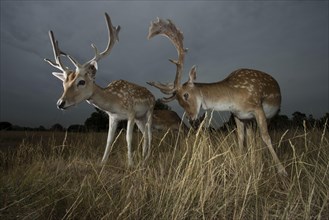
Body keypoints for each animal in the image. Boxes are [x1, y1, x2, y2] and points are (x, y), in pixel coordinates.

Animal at [44, 12, 155, 166]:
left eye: (81, 82)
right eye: (63, 84)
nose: (60, 103)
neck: (114, 102)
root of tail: (153, 95)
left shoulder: (131, 113)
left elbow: (128, 138)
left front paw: (130, 164)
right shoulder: (113, 117)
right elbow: (109, 140)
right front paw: (102, 162)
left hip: (149, 111)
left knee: (150, 133)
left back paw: (147, 157)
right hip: (140, 118)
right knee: (145, 133)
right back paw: (144, 157)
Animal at [147, 18, 286, 176]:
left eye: (186, 95)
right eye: (178, 101)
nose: (190, 118)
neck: (234, 97)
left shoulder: (258, 107)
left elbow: (266, 136)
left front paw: (282, 171)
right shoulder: (238, 115)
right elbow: (240, 138)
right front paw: (241, 163)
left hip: (270, 114)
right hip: (249, 120)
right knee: (251, 137)